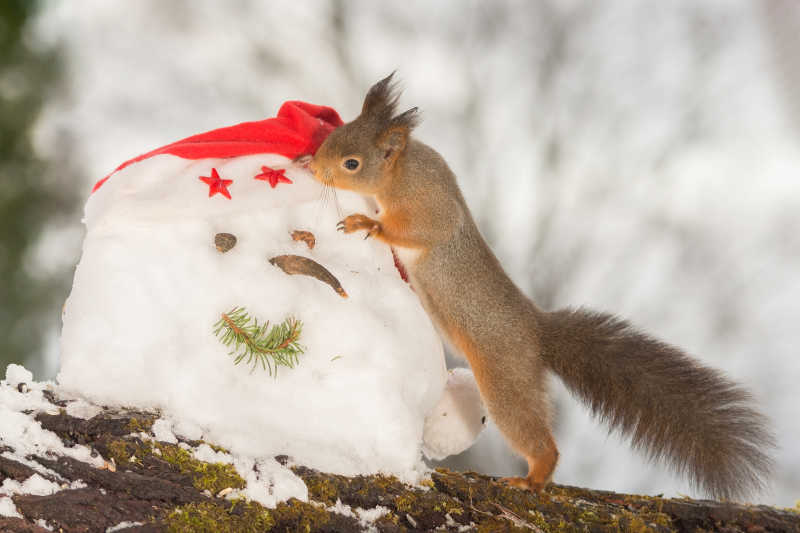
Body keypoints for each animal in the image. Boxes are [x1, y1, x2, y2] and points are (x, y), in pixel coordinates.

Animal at [308, 74, 776, 498]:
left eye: (352, 163)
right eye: (333, 135)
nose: (313, 166)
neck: (403, 170)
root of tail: (535, 332)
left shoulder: (429, 209)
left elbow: (415, 233)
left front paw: (367, 223)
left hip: (506, 380)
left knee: (534, 435)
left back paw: (532, 478)